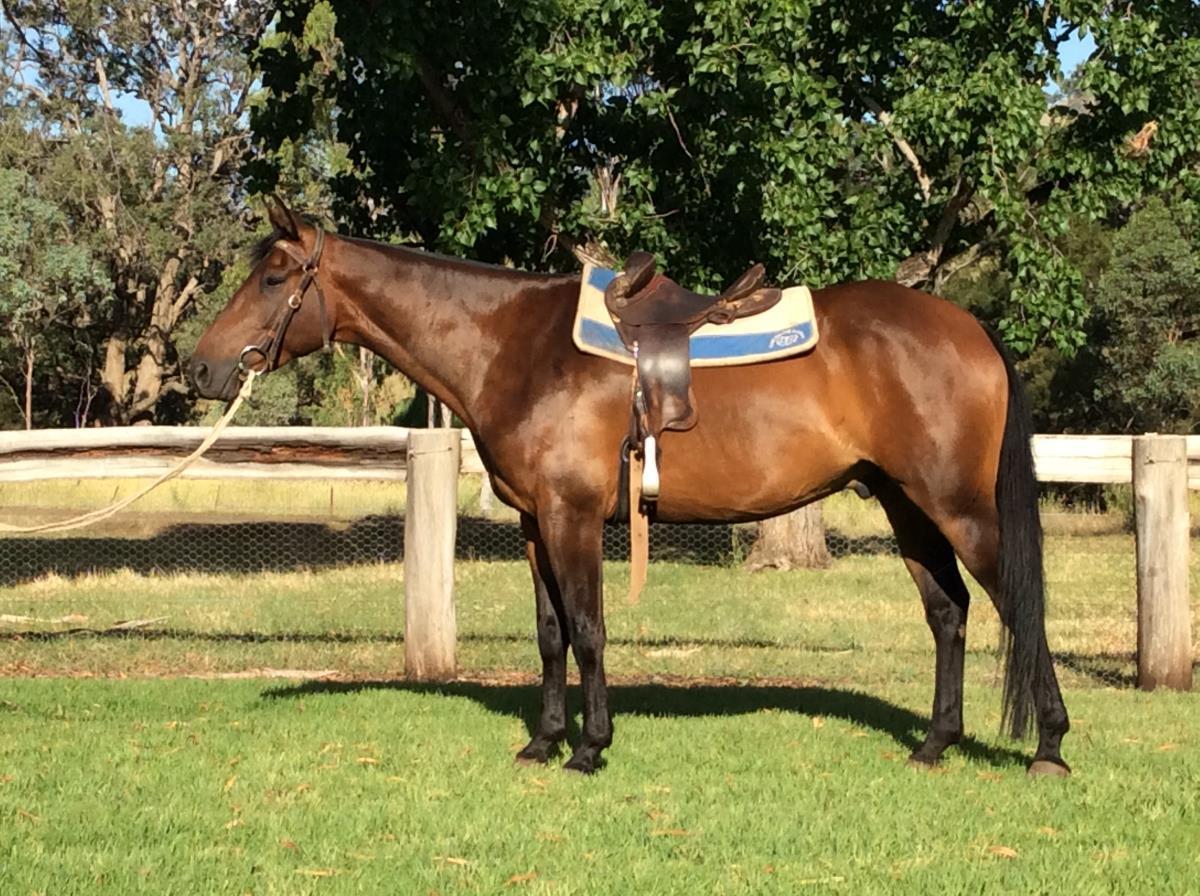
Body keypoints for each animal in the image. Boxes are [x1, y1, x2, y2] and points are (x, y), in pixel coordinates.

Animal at [188, 199, 1070, 777]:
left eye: (273, 278)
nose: (200, 367)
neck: (515, 345)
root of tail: (969, 328)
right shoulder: (534, 522)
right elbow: (550, 634)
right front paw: (543, 742)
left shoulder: (573, 516)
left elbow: (588, 629)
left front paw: (589, 747)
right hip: (904, 504)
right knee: (948, 614)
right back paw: (934, 744)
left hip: (959, 509)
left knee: (1018, 610)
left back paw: (1050, 748)